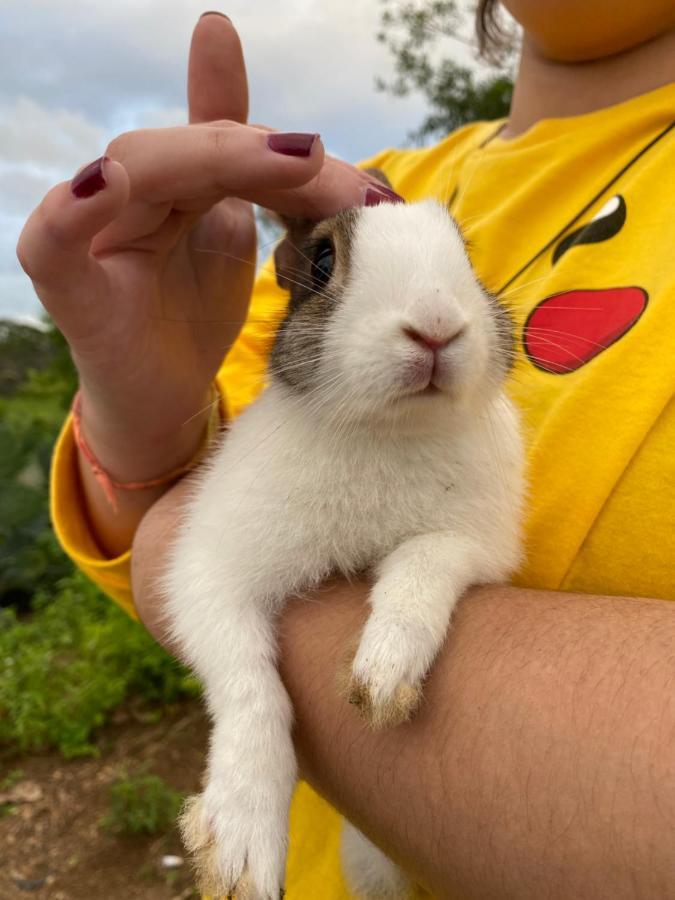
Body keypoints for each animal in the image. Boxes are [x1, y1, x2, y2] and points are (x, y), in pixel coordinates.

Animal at [161, 197, 524, 900]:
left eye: (467, 256)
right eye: (323, 262)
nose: (435, 327)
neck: (390, 431)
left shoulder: (473, 545)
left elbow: (419, 570)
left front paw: (383, 678)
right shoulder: (210, 576)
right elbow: (249, 687)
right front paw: (240, 843)